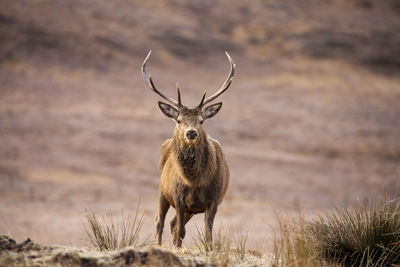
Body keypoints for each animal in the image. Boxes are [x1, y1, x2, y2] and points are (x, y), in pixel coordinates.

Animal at [141, 51, 234, 248]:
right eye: (178, 120)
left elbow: (208, 234)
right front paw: (176, 248)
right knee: (160, 220)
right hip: (162, 191)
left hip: (190, 208)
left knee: (171, 223)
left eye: (201, 120)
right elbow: (180, 232)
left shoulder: (213, 200)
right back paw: (158, 245)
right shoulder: (178, 198)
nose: (191, 132)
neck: (195, 182)